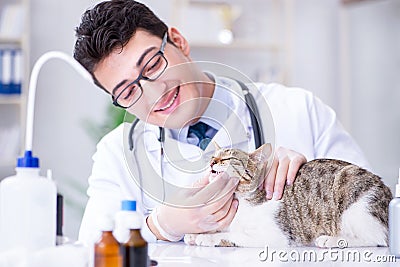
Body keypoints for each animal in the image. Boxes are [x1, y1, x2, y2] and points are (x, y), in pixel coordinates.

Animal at [185, 144, 394, 249]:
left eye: (228, 158)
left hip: (354, 199)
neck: (241, 200)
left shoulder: (275, 235)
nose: (212, 161)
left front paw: (208, 238)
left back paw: (332, 240)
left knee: (377, 238)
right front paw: (197, 234)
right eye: (214, 156)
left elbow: (233, 235)